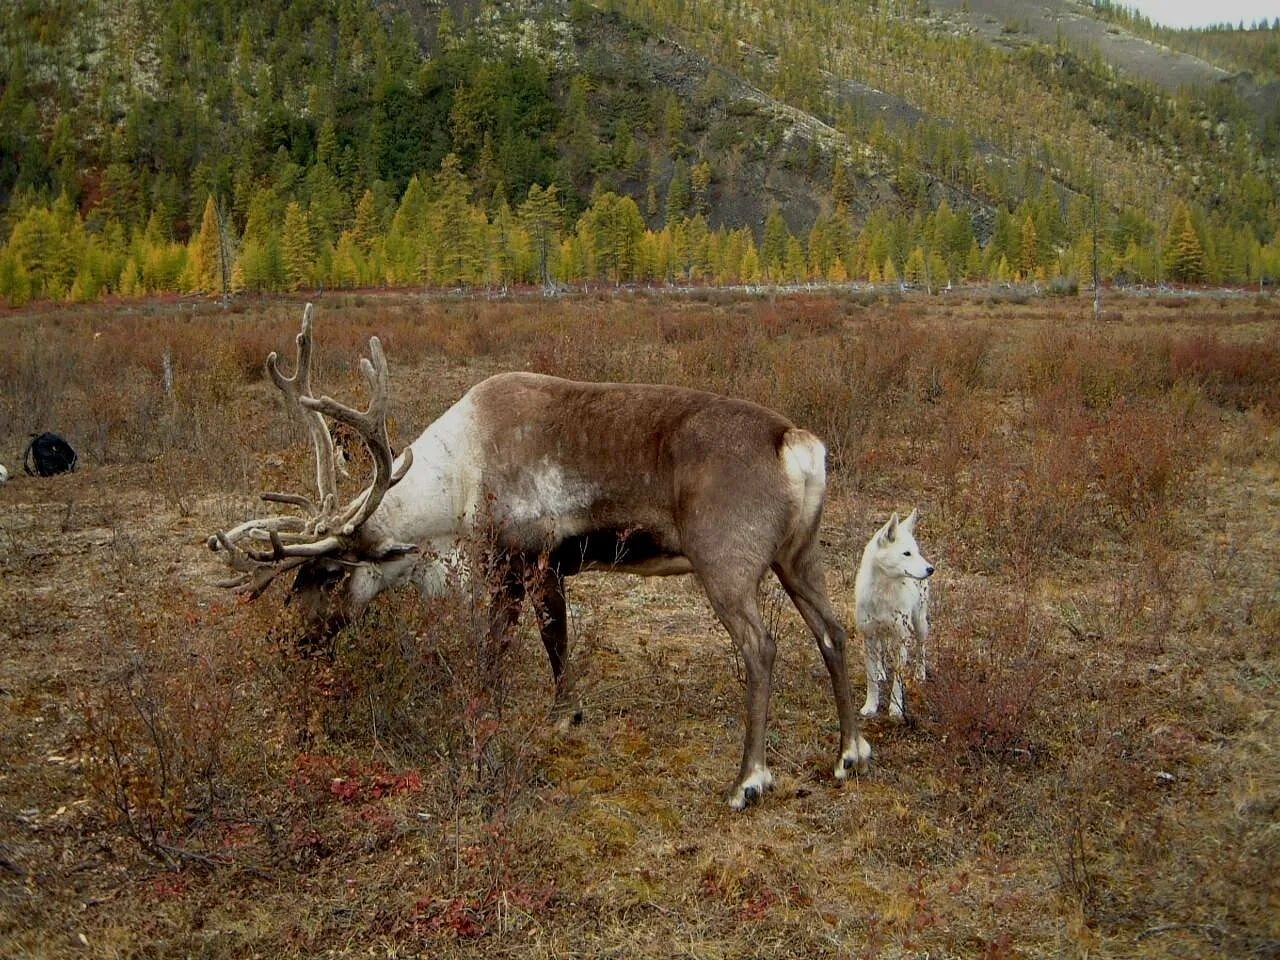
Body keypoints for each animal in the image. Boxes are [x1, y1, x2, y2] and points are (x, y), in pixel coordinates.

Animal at [855, 512, 936, 721]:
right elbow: (872, 680)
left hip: (920, 624)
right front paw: (870, 706)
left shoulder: (901, 640)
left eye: (916, 551)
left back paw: (920, 674)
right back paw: (882, 671)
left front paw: (895, 709)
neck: (884, 591)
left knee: (921, 648)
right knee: (882, 649)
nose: (931, 569)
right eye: (907, 553)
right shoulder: (868, 637)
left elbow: (898, 682)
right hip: (881, 633)